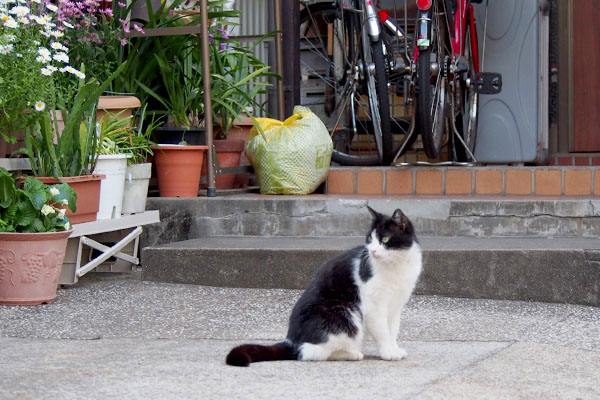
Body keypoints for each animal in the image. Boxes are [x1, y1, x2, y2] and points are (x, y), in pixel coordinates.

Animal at [225, 208, 422, 368]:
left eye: (385, 239)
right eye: (369, 239)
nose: (372, 250)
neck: (396, 266)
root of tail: (291, 341)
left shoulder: (395, 306)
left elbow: (393, 330)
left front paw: (395, 348)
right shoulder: (374, 307)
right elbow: (382, 331)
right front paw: (388, 352)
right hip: (345, 312)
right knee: (311, 352)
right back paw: (352, 354)